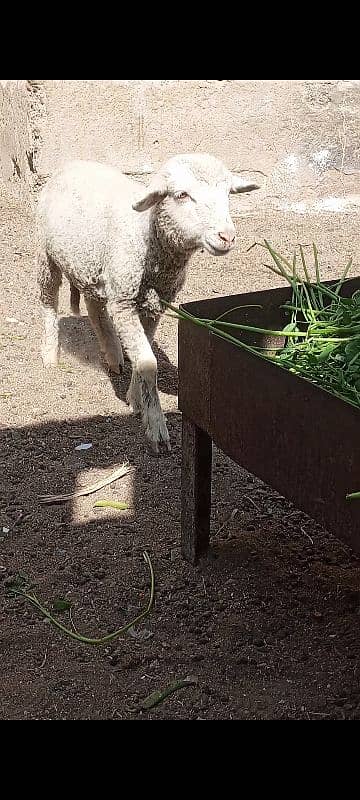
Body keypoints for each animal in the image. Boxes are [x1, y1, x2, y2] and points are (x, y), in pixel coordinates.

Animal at [37, 155, 258, 450]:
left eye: (227, 194)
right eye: (182, 195)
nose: (227, 237)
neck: (146, 236)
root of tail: (74, 163)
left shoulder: (154, 305)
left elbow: (143, 358)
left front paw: (135, 397)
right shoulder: (124, 302)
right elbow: (148, 363)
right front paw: (156, 426)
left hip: (93, 268)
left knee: (95, 308)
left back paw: (113, 356)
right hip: (45, 255)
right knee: (48, 302)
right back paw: (51, 354)